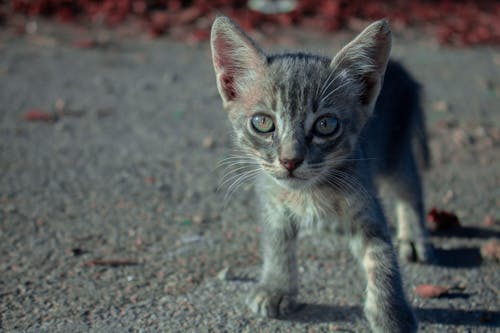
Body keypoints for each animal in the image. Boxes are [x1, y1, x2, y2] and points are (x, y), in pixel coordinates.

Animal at [211, 16, 434, 332]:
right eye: (263, 123)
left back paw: (414, 236)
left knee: (410, 187)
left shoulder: (365, 200)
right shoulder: (271, 198)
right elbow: (277, 242)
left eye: (326, 125)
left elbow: (382, 256)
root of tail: (401, 68)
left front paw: (392, 313)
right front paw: (276, 287)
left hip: (396, 150)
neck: (310, 192)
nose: (290, 160)